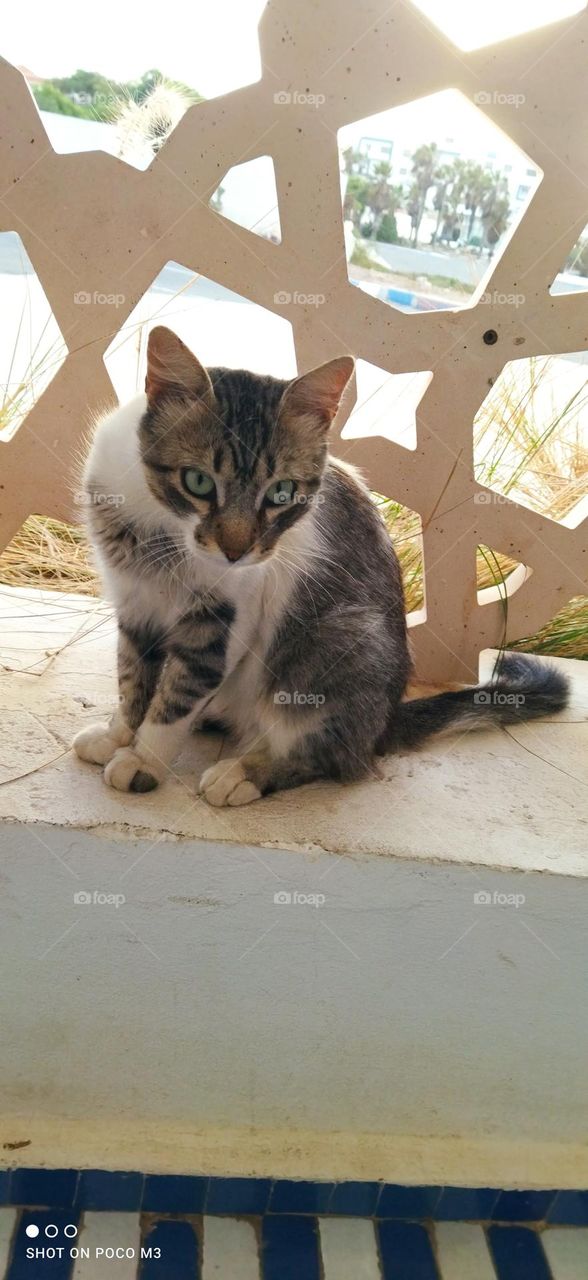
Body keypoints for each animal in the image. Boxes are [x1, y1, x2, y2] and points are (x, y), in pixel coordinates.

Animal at [71, 322, 568, 798]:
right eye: (197, 481)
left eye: (281, 493)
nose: (236, 550)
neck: (159, 536)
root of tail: (385, 722)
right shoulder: (135, 602)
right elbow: (133, 677)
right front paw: (119, 735)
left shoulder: (226, 617)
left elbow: (178, 692)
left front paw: (144, 760)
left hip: (333, 645)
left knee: (335, 757)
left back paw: (244, 774)